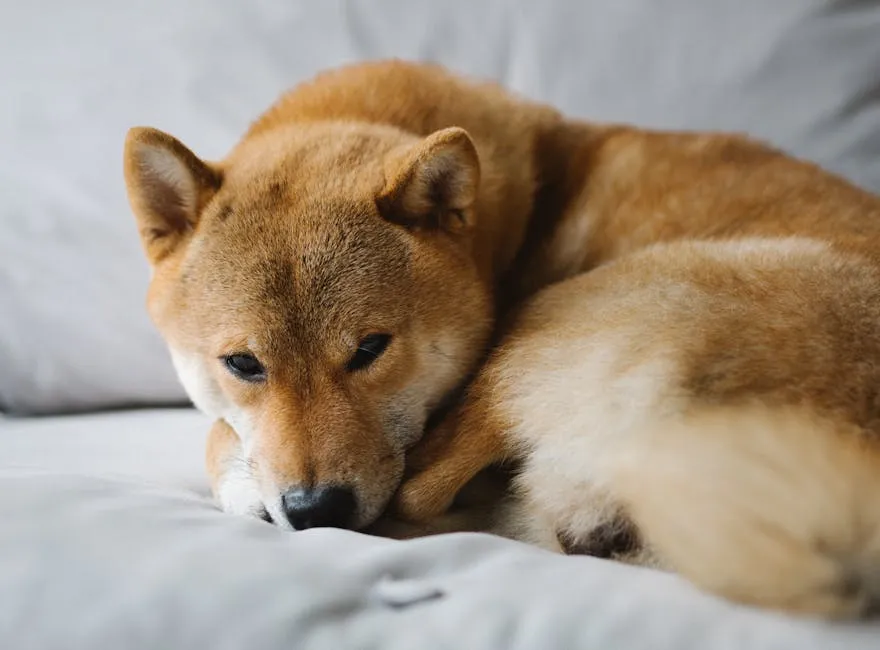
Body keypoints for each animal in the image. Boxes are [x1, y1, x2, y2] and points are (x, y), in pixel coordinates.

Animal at [122, 58, 880, 616]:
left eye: (369, 350)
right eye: (242, 363)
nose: (317, 511)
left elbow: (220, 435)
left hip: (543, 328)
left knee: (421, 493)